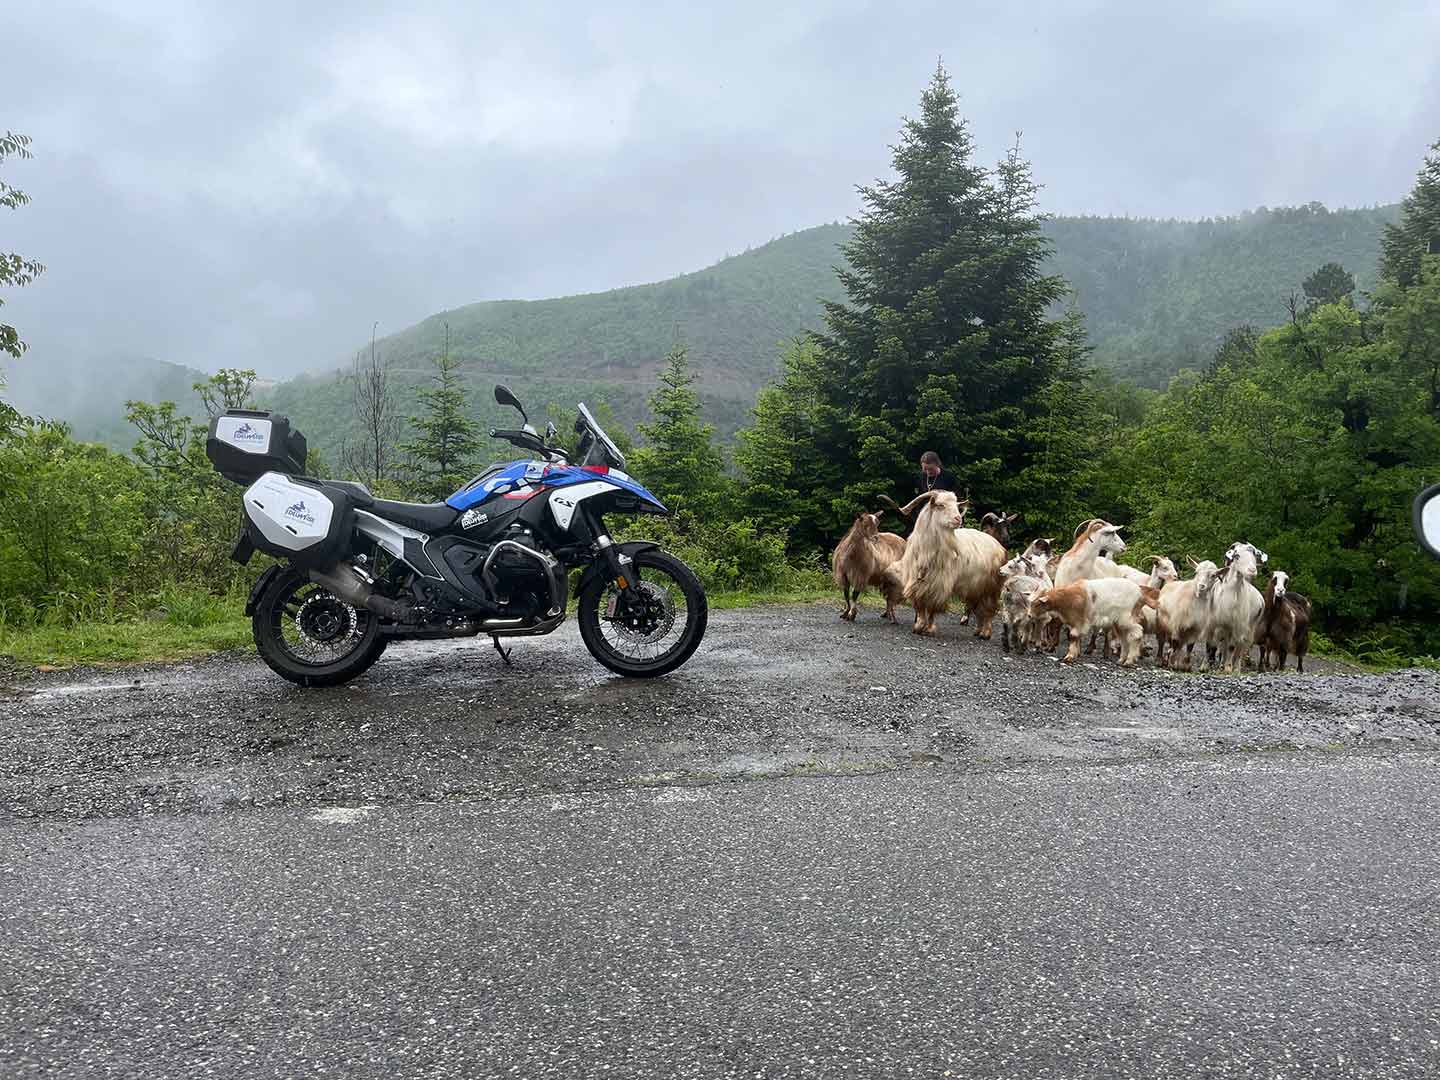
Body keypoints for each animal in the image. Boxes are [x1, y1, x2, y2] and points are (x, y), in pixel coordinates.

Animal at [887, 492, 1002, 639]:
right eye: (941, 505)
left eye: (956, 505)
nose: (958, 519)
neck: (927, 551)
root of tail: (998, 545)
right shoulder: (916, 583)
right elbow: (920, 606)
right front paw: (918, 627)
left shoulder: (939, 584)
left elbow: (932, 607)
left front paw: (929, 629)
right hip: (976, 588)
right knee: (978, 608)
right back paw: (978, 631)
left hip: (991, 587)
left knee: (988, 609)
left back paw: (985, 633)